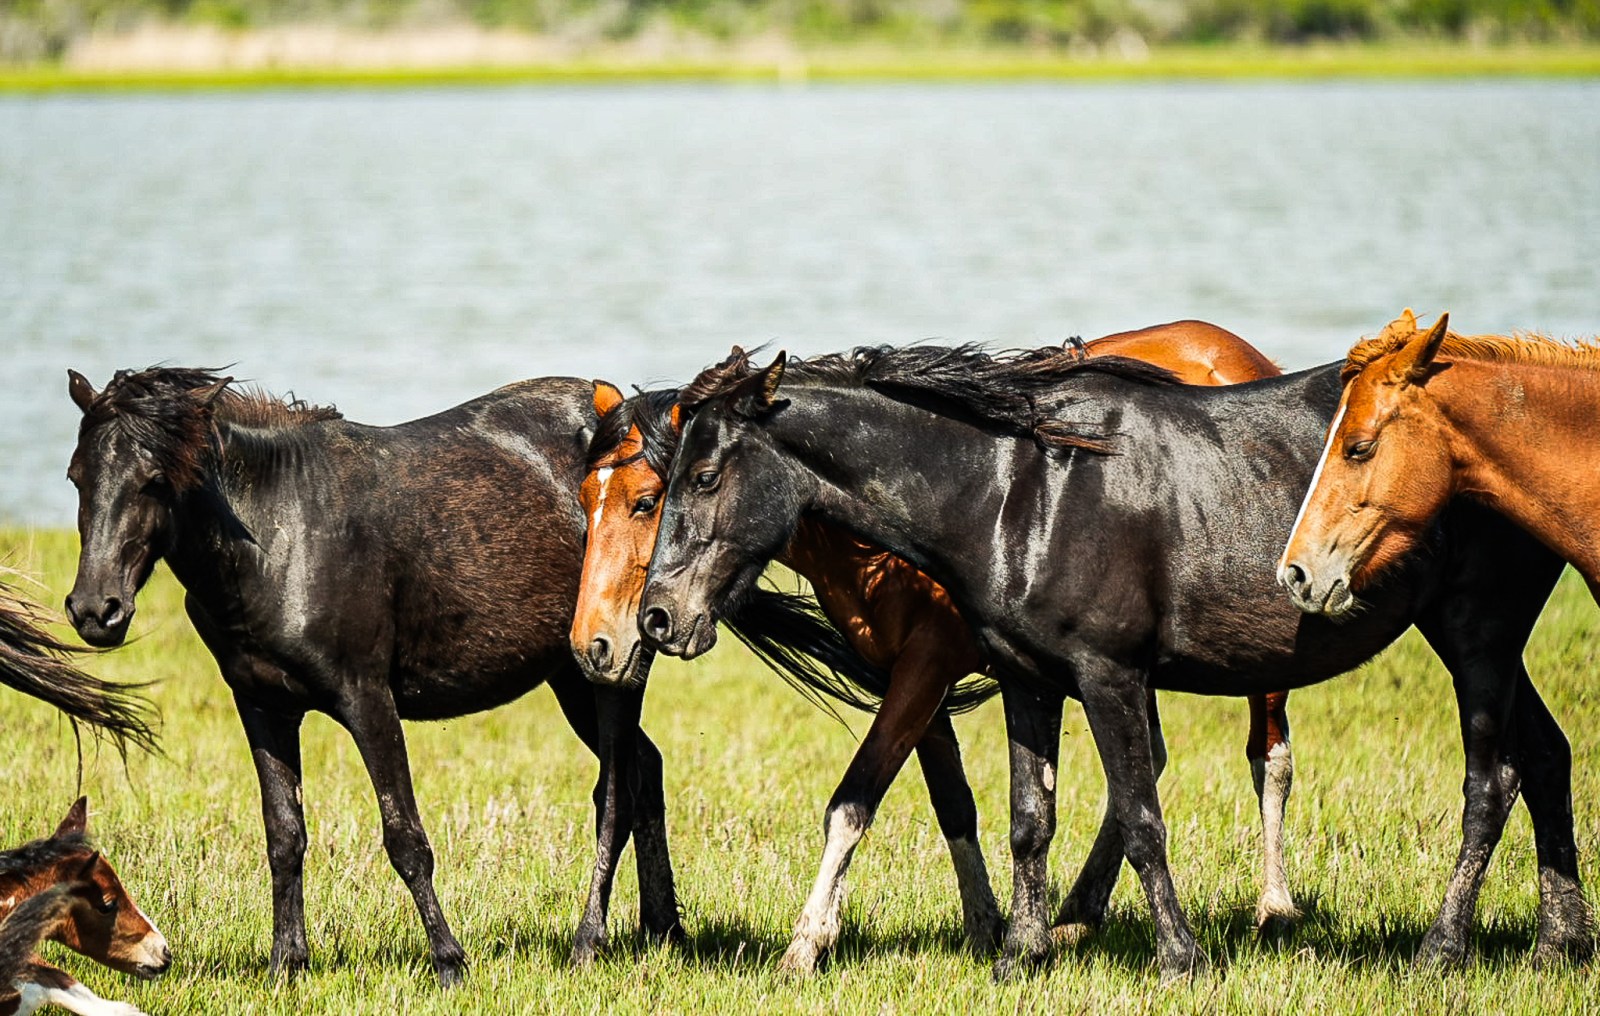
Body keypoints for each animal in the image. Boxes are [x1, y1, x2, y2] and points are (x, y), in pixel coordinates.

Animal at [61, 367, 877, 983]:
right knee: (645, 773)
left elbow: (404, 835)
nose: (95, 610)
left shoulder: (367, 699)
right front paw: (287, 965)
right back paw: (663, 930)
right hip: (574, 675)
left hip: (608, 674)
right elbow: (284, 835)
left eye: (154, 481)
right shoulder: (262, 707)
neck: (281, 532)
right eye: (76, 477)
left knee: (617, 793)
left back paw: (593, 941)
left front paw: (449, 961)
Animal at [571, 323, 1297, 974]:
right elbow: (955, 803)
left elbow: (852, 802)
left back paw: (1275, 908)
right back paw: (1076, 915)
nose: (622, 632)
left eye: (650, 498)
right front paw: (988, 927)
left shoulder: (926, 669)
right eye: (586, 498)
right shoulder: (917, 676)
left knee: (1269, 758)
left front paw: (806, 945)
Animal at [635, 343, 1591, 980]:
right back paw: (1561, 941)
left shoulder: (1109, 677)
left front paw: (1179, 959)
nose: (657, 617)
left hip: (1475, 634)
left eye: (705, 477)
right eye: (666, 481)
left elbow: (1139, 814)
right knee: (1545, 757)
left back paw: (1443, 948)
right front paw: (1019, 957)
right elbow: (1029, 820)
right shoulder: (1028, 681)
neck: (1018, 492)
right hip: (1483, 641)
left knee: (1492, 781)